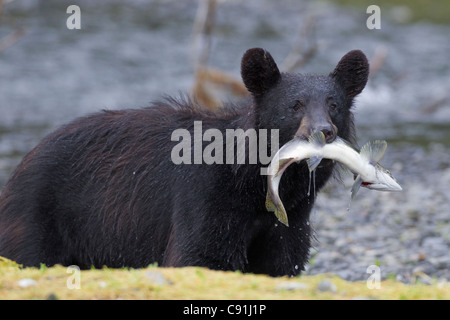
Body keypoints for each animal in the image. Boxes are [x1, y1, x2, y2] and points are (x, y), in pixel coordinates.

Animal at [0, 47, 370, 276]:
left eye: (334, 104)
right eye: (295, 105)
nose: (323, 131)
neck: (252, 185)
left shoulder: (290, 220)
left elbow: (282, 262)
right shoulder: (205, 199)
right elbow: (199, 256)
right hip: (39, 219)